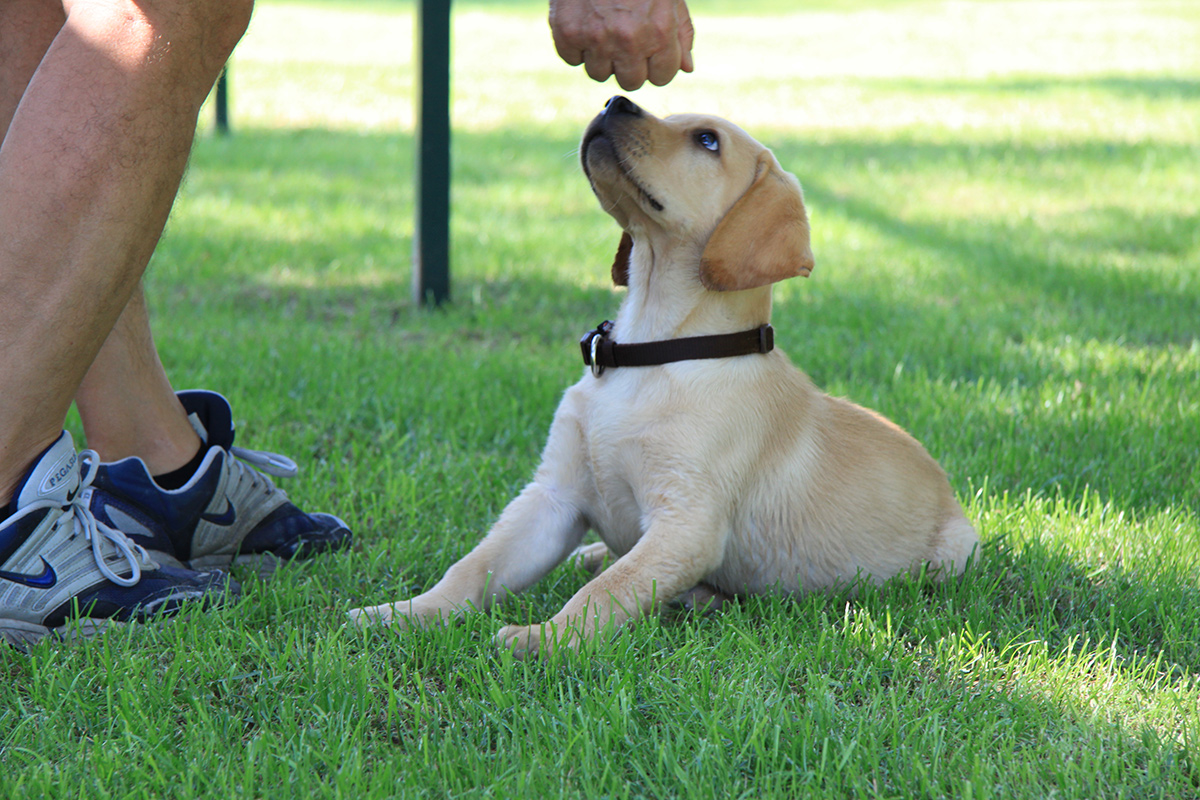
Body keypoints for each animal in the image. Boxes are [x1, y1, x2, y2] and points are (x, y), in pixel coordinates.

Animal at [350, 98, 979, 657]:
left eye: (707, 141)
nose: (613, 100)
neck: (651, 352)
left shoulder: (686, 521)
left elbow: (607, 592)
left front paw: (546, 640)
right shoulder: (552, 496)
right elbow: (476, 566)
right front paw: (404, 613)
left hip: (955, 552)